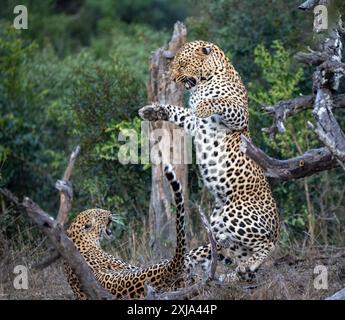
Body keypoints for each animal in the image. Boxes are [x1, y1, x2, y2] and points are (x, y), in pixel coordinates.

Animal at [138, 40, 280, 282]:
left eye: (182, 64)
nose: (173, 78)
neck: (206, 80)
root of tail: (277, 223)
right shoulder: (193, 122)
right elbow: (179, 111)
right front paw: (153, 111)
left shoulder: (238, 114)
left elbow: (220, 101)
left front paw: (205, 104)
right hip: (218, 220)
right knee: (235, 251)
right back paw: (238, 271)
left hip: (234, 213)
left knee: (268, 244)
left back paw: (248, 264)